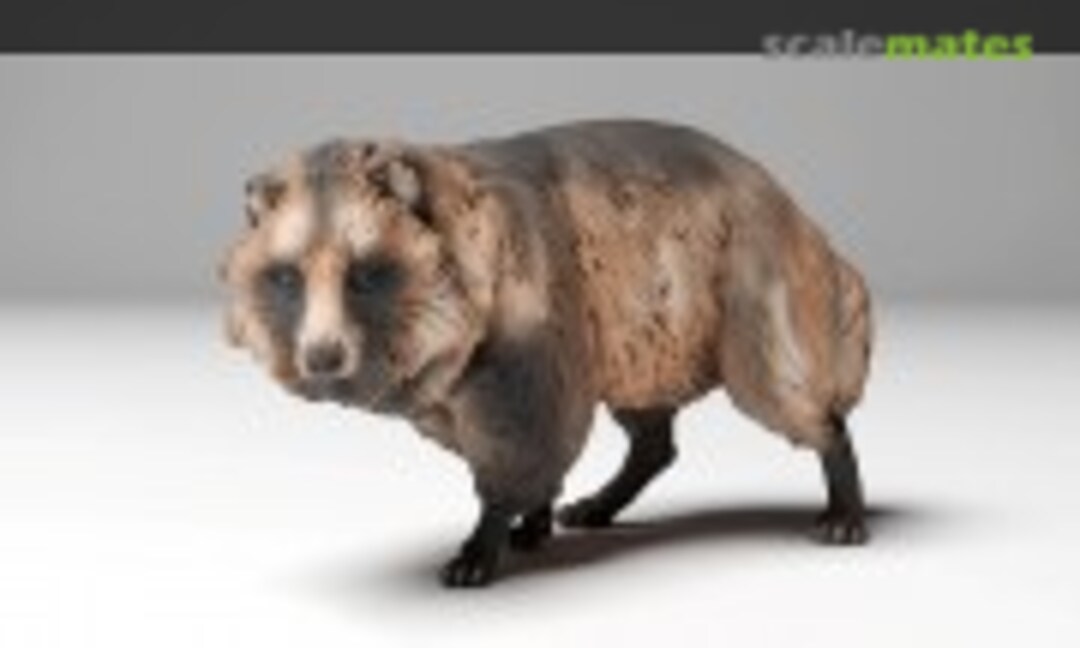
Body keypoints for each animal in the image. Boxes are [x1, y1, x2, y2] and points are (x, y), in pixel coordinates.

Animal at [220, 119, 873, 587]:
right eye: (286, 278)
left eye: (366, 275)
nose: (322, 359)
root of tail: (787, 202)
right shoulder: (460, 377)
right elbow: (530, 444)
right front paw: (531, 513)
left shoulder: (532, 312)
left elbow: (529, 431)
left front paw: (488, 528)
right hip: (648, 328)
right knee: (647, 424)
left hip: (747, 277)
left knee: (776, 381)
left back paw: (836, 461)